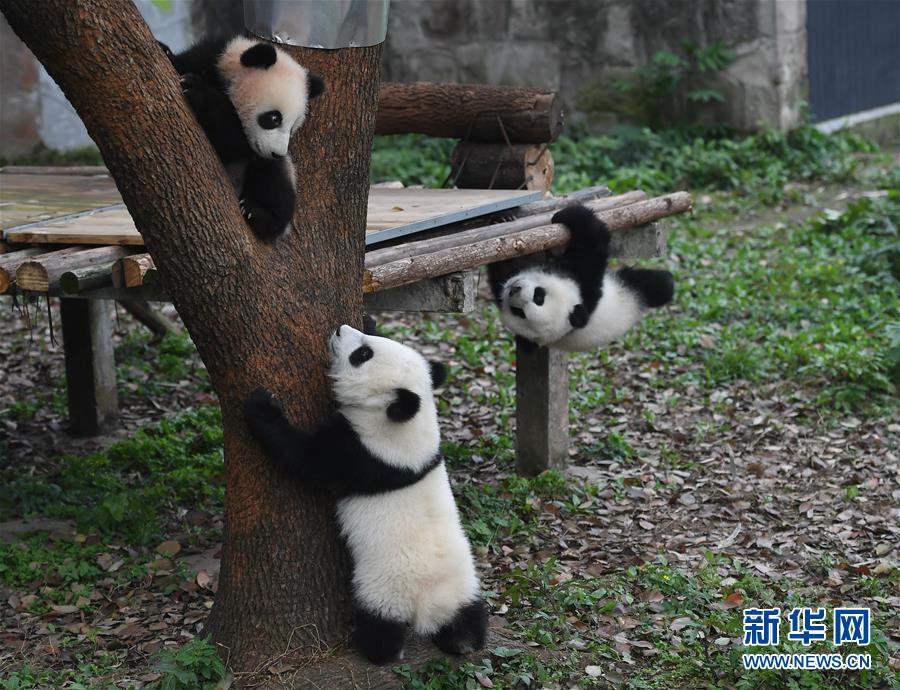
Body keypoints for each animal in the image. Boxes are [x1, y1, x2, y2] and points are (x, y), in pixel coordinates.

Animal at [160, 36, 325, 239]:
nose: (277, 153)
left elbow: (232, 141)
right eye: (274, 118)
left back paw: (258, 214)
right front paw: (166, 51)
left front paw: (197, 89)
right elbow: (182, 62)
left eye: (293, 128)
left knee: (276, 181)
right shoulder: (211, 56)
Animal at [243, 325, 487, 665]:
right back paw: (465, 641)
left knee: (379, 625)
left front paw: (261, 406)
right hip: (462, 584)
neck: (407, 421)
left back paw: (378, 650)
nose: (339, 329)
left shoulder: (363, 455)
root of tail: (427, 603)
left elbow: (305, 458)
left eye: (362, 355)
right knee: (470, 616)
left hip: (382, 587)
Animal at [488, 204, 674, 352]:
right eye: (518, 311)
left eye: (538, 297)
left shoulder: (584, 284)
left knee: (658, 286)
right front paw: (503, 218)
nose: (514, 290)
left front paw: (565, 215)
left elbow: (591, 244)